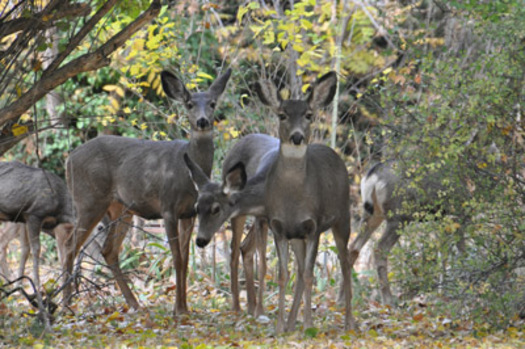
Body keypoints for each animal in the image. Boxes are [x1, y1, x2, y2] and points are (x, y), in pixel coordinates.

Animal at [62, 67, 230, 316]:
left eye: (212, 103)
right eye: (189, 104)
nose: (202, 121)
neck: (186, 174)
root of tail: (68, 159)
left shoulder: (189, 213)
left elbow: (185, 260)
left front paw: (185, 308)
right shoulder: (168, 207)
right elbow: (176, 258)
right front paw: (178, 309)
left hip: (121, 209)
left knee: (108, 250)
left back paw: (134, 303)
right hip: (89, 200)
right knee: (69, 246)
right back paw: (65, 305)